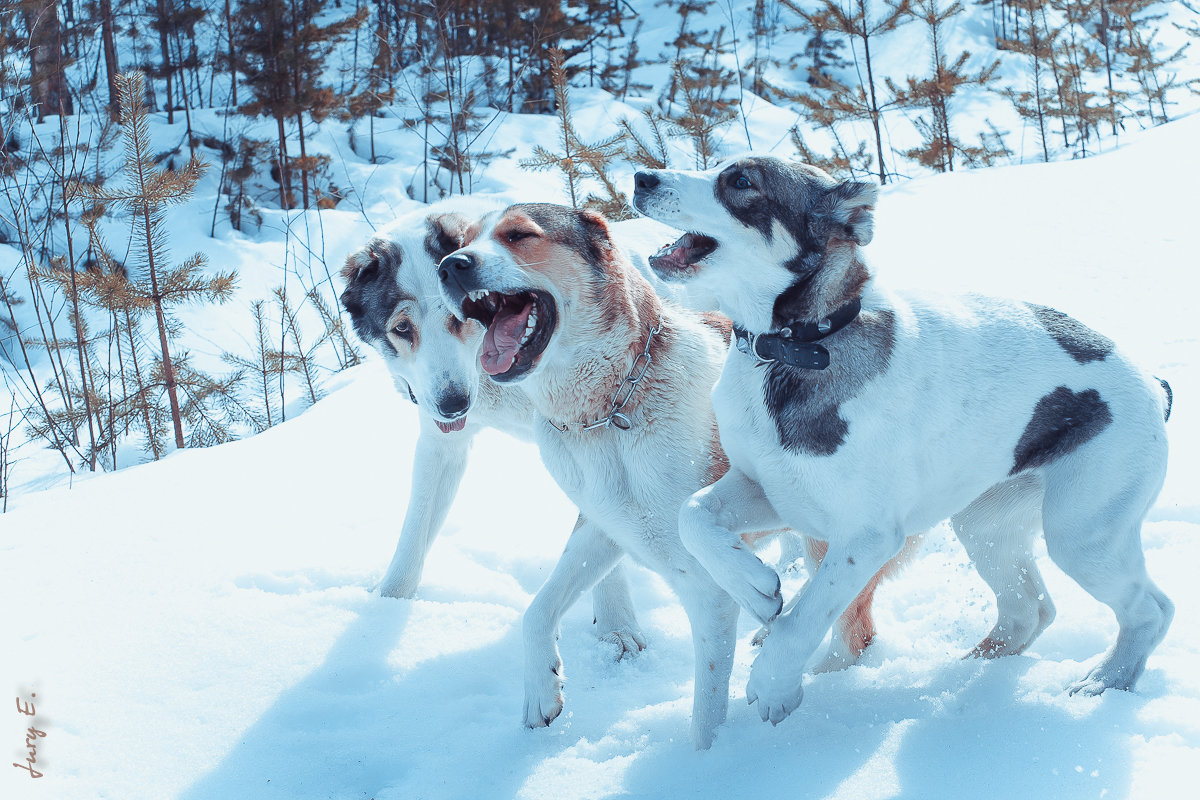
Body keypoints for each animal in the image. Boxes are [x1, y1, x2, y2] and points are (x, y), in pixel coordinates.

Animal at [633, 154, 1176, 724]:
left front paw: (773, 683)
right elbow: (693, 515)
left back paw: (1106, 679)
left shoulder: (865, 536)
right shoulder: (766, 489)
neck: (796, 349)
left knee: (1151, 610)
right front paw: (756, 589)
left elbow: (807, 615)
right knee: (1029, 608)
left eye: (741, 181)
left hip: (1082, 533)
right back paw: (971, 671)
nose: (641, 178)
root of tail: (1150, 382)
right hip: (987, 524)